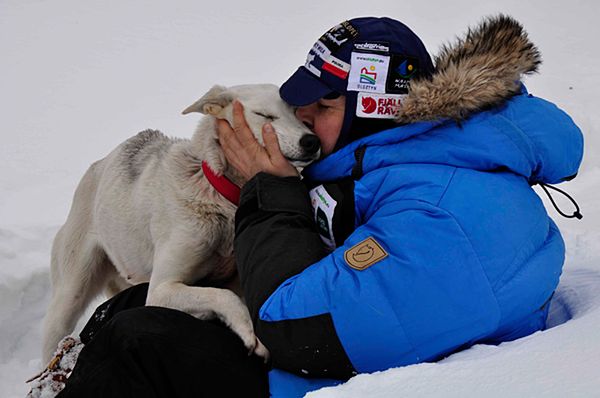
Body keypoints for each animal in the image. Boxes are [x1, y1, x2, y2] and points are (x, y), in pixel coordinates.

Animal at [42, 84, 322, 364]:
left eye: (297, 112)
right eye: (264, 116)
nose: (311, 141)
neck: (219, 195)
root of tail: (97, 166)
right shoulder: (160, 290)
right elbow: (225, 296)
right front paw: (251, 332)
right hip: (70, 295)